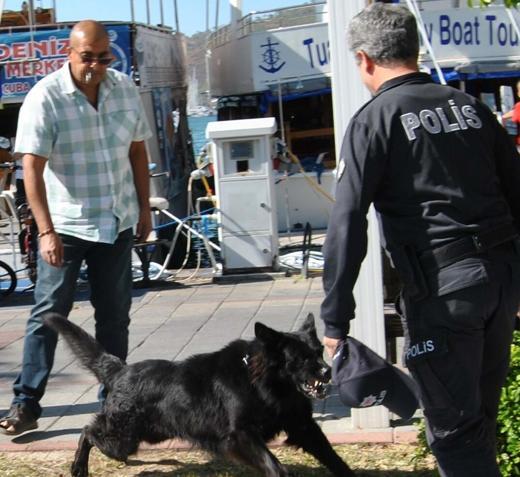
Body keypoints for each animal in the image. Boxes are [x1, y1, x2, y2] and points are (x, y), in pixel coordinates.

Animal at [44, 312, 356, 476]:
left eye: (318, 352)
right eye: (301, 359)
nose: (328, 371)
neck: (262, 383)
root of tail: (120, 370)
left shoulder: (303, 426)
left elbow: (332, 457)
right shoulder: (240, 436)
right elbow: (275, 465)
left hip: (146, 435)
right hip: (123, 439)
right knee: (88, 431)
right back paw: (78, 466)